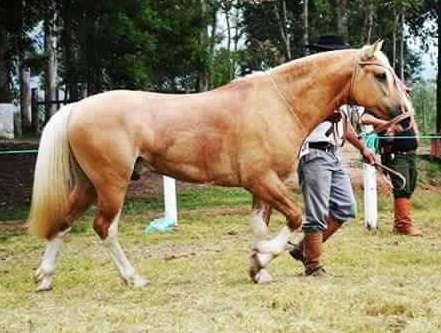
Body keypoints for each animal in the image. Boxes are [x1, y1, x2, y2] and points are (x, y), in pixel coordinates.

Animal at [28, 40, 412, 290]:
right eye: (381, 75)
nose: (404, 116)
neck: (279, 102)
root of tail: (76, 108)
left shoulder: (261, 188)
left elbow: (260, 225)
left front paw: (259, 269)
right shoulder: (263, 181)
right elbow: (295, 218)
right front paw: (261, 259)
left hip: (87, 185)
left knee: (63, 223)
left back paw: (44, 277)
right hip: (112, 184)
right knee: (104, 228)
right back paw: (132, 277)